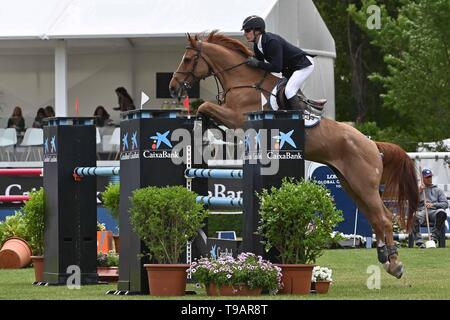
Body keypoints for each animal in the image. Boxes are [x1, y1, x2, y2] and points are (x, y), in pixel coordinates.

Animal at [169, 31, 418, 278]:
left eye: (188, 59)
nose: (172, 88)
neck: (243, 82)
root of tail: (372, 144)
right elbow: (205, 109)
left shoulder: (238, 118)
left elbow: (206, 107)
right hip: (351, 184)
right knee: (375, 217)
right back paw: (386, 259)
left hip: (364, 185)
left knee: (384, 218)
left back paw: (395, 264)